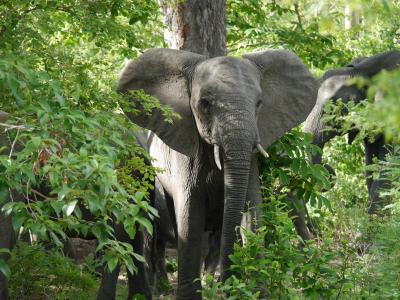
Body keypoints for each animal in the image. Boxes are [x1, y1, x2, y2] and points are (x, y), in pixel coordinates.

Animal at [116, 47, 318, 298]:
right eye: (204, 103)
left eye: (259, 103)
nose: (230, 283)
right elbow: (190, 214)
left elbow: (253, 207)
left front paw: (254, 292)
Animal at [304, 50, 398, 216]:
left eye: (336, 107)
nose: (328, 169)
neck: (363, 71)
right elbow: (371, 162)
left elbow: (388, 162)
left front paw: (373, 220)